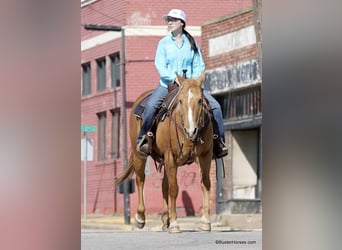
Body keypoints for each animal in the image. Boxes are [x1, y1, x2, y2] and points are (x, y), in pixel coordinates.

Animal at [116, 73, 215, 233]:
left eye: (200, 100)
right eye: (180, 101)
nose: (191, 131)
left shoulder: (205, 156)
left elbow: (205, 184)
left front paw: (205, 221)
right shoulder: (171, 157)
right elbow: (174, 189)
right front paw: (175, 224)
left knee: (163, 185)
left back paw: (164, 218)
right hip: (140, 155)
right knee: (140, 180)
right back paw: (140, 218)